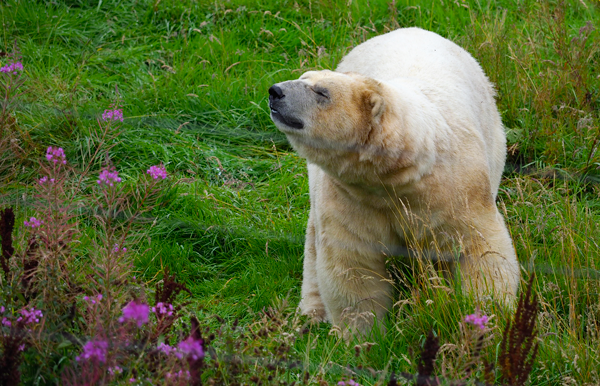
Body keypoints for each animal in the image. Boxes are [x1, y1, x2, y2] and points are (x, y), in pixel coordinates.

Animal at [268, 27, 520, 336]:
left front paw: (486, 316)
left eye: (321, 91)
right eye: (304, 77)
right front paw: (362, 335)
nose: (275, 91)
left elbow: (480, 248)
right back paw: (311, 313)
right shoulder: (350, 196)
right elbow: (352, 264)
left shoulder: (458, 191)